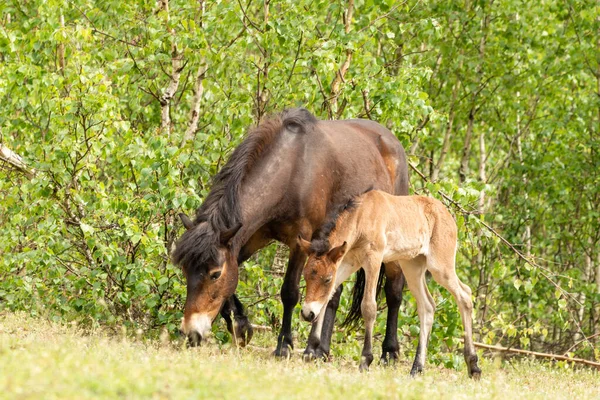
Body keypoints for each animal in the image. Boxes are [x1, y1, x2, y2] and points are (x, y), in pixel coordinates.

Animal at [173, 107, 408, 360]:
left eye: (215, 274)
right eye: (186, 271)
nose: (191, 332)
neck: (292, 169)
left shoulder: (300, 242)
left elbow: (289, 292)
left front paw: (284, 345)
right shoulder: (254, 238)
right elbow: (234, 276)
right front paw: (241, 326)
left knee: (394, 289)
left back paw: (389, 352)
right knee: (333, 292)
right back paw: (319, 350)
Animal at [298, 191, 480, 378]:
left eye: (327, 279)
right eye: (305, 275)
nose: (307, 314)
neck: (361, 216)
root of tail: (448, 216)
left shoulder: (373, 259)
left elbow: (368, 307)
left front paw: (365, 360)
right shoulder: (349, 262)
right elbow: (326, 298)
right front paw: (311, 353)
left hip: (440, 267)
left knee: (465, 295)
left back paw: (473, 366)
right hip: (412, 267)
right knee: (428, 306)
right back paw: (417, 368)